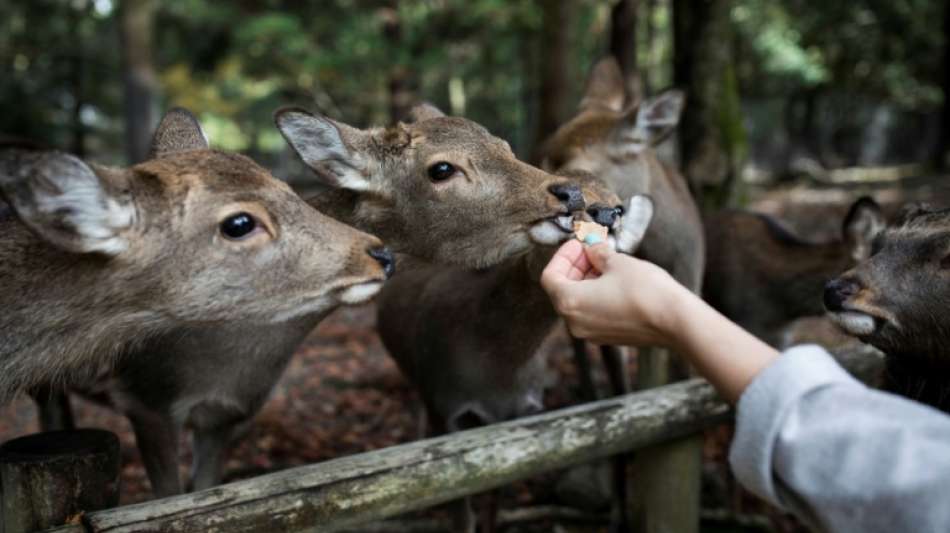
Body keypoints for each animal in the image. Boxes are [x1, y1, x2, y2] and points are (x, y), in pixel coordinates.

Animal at [44, 102, 592, 496]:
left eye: (504, 144)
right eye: (441, 169)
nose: (568, 193)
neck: (222, 354)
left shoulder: (229, 414)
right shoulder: (147, 399)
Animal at [376, 171, 660, 532]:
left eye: (620, 207)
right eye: (570, 201)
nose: (608, 215)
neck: (495, 368)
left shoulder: (517, 415)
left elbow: (495, 497)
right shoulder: (446, 407)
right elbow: (460, 509)